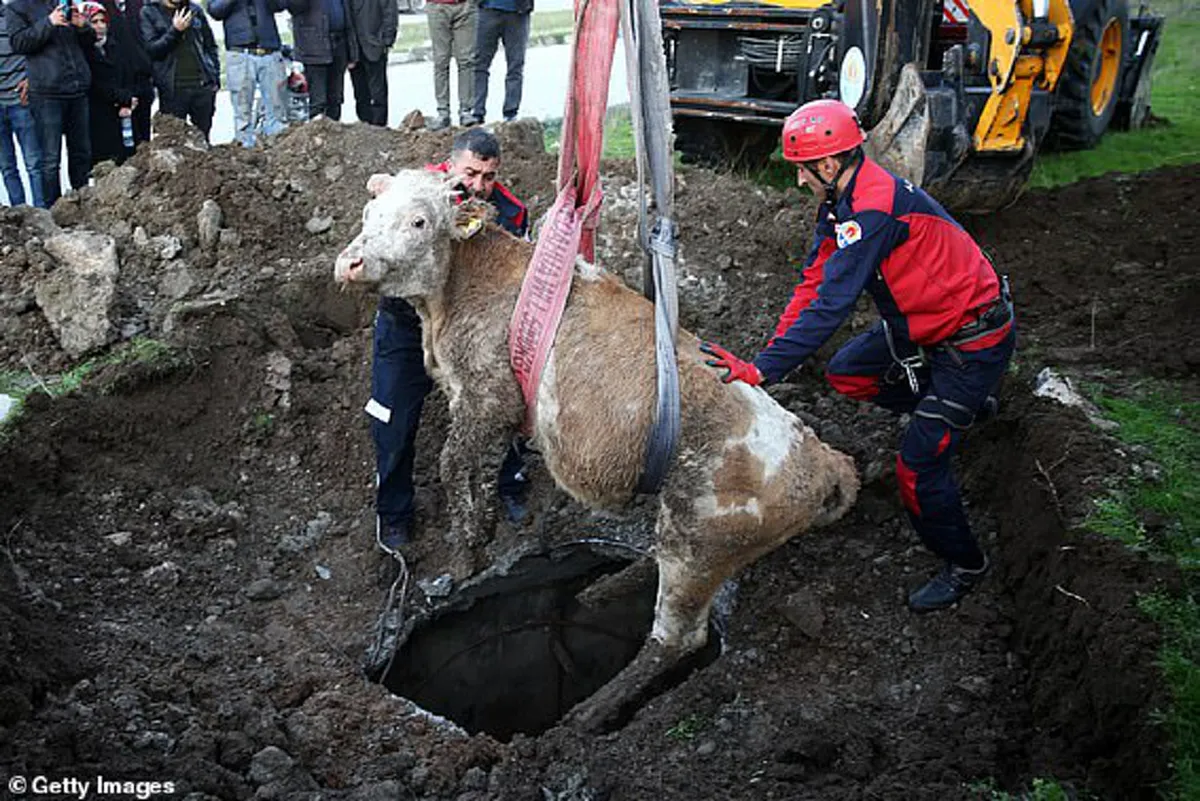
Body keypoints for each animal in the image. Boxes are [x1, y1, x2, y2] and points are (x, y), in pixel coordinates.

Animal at [338, 170, 864, 733]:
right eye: (369, 213)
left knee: (675, 637)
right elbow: (487, 465)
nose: (350, 262)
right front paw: (483, 529)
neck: (458, 292)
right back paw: (600, 591)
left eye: (419, 220)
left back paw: (588, 714)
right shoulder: (495, 408)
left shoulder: (487, 395)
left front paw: (464, 555)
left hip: (700, 542)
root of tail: (825, 461)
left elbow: (452, 461)